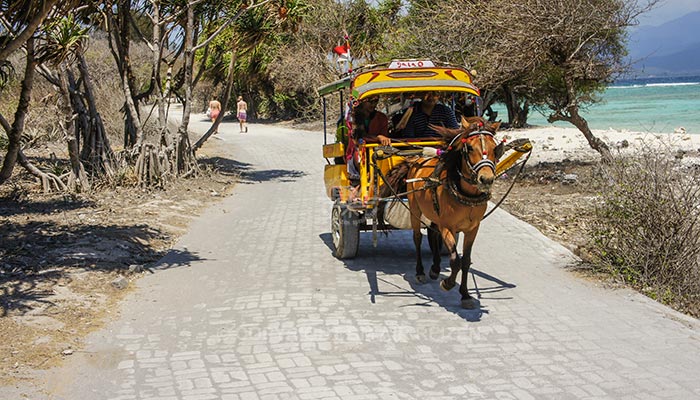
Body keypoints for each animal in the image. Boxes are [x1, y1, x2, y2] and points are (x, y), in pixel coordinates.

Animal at [408, 115, 500, 310]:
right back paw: (420, 272)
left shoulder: (473, 229)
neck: (466, 196)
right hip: (414, 209)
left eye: (495, 148)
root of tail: (417, 160)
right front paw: (448, 283)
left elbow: (465, 261)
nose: (486, 179)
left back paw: (435, 269)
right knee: (417, 238)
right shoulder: (448, 227)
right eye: (470, 147)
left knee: (433, 234)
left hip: (434, 215)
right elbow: (455, 260)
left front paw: (465, 295)